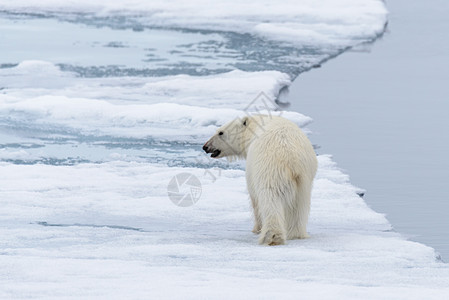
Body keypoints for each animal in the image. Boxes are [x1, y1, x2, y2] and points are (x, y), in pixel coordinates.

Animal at [201, 113, 316, 245]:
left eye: (220, 132)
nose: (205, 147)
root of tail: (292, 159)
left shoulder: (252, 168)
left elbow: (254, 199)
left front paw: (257, 228)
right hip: (304, 177)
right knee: (300, 204)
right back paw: (296, 234)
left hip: (270, 171)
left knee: (270, 198)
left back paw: (272, 236)